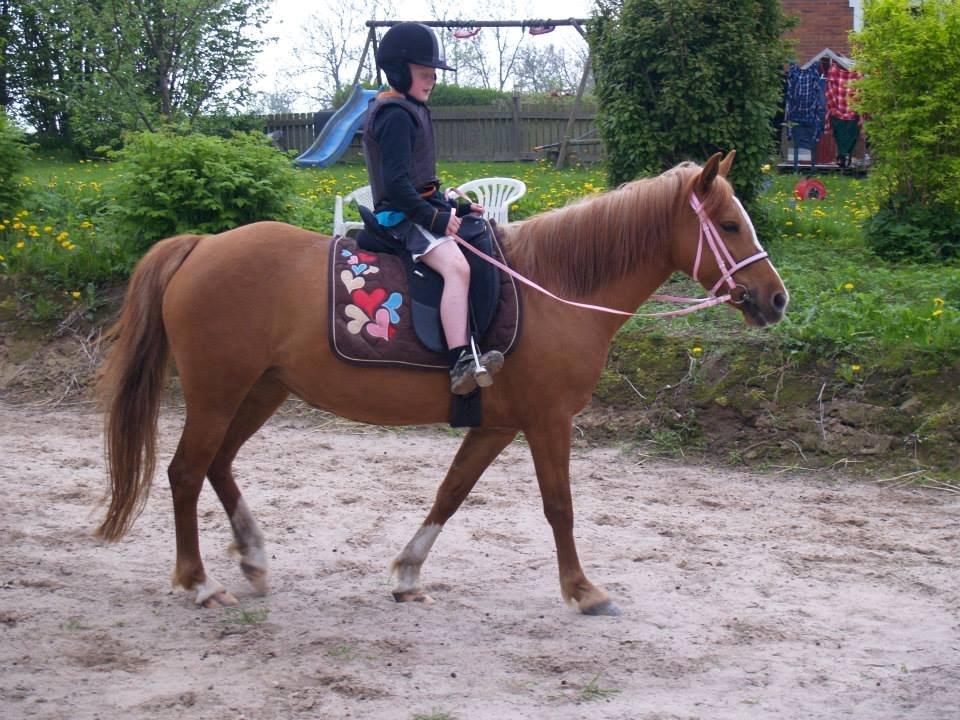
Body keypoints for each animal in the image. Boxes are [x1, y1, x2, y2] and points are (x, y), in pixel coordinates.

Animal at [95, 152, 788, 612]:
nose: (776, 299)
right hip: (218, 391)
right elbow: (559, 506)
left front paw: (407, 572)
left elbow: (451, 493)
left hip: (261, 389)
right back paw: (198, 580)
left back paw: (253, 558)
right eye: (729, 225)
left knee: (218, 465)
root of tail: (201, 245)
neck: (556, 288)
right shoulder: (547, 422)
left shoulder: (498, 425)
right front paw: (583, 590)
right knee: (187, 471)